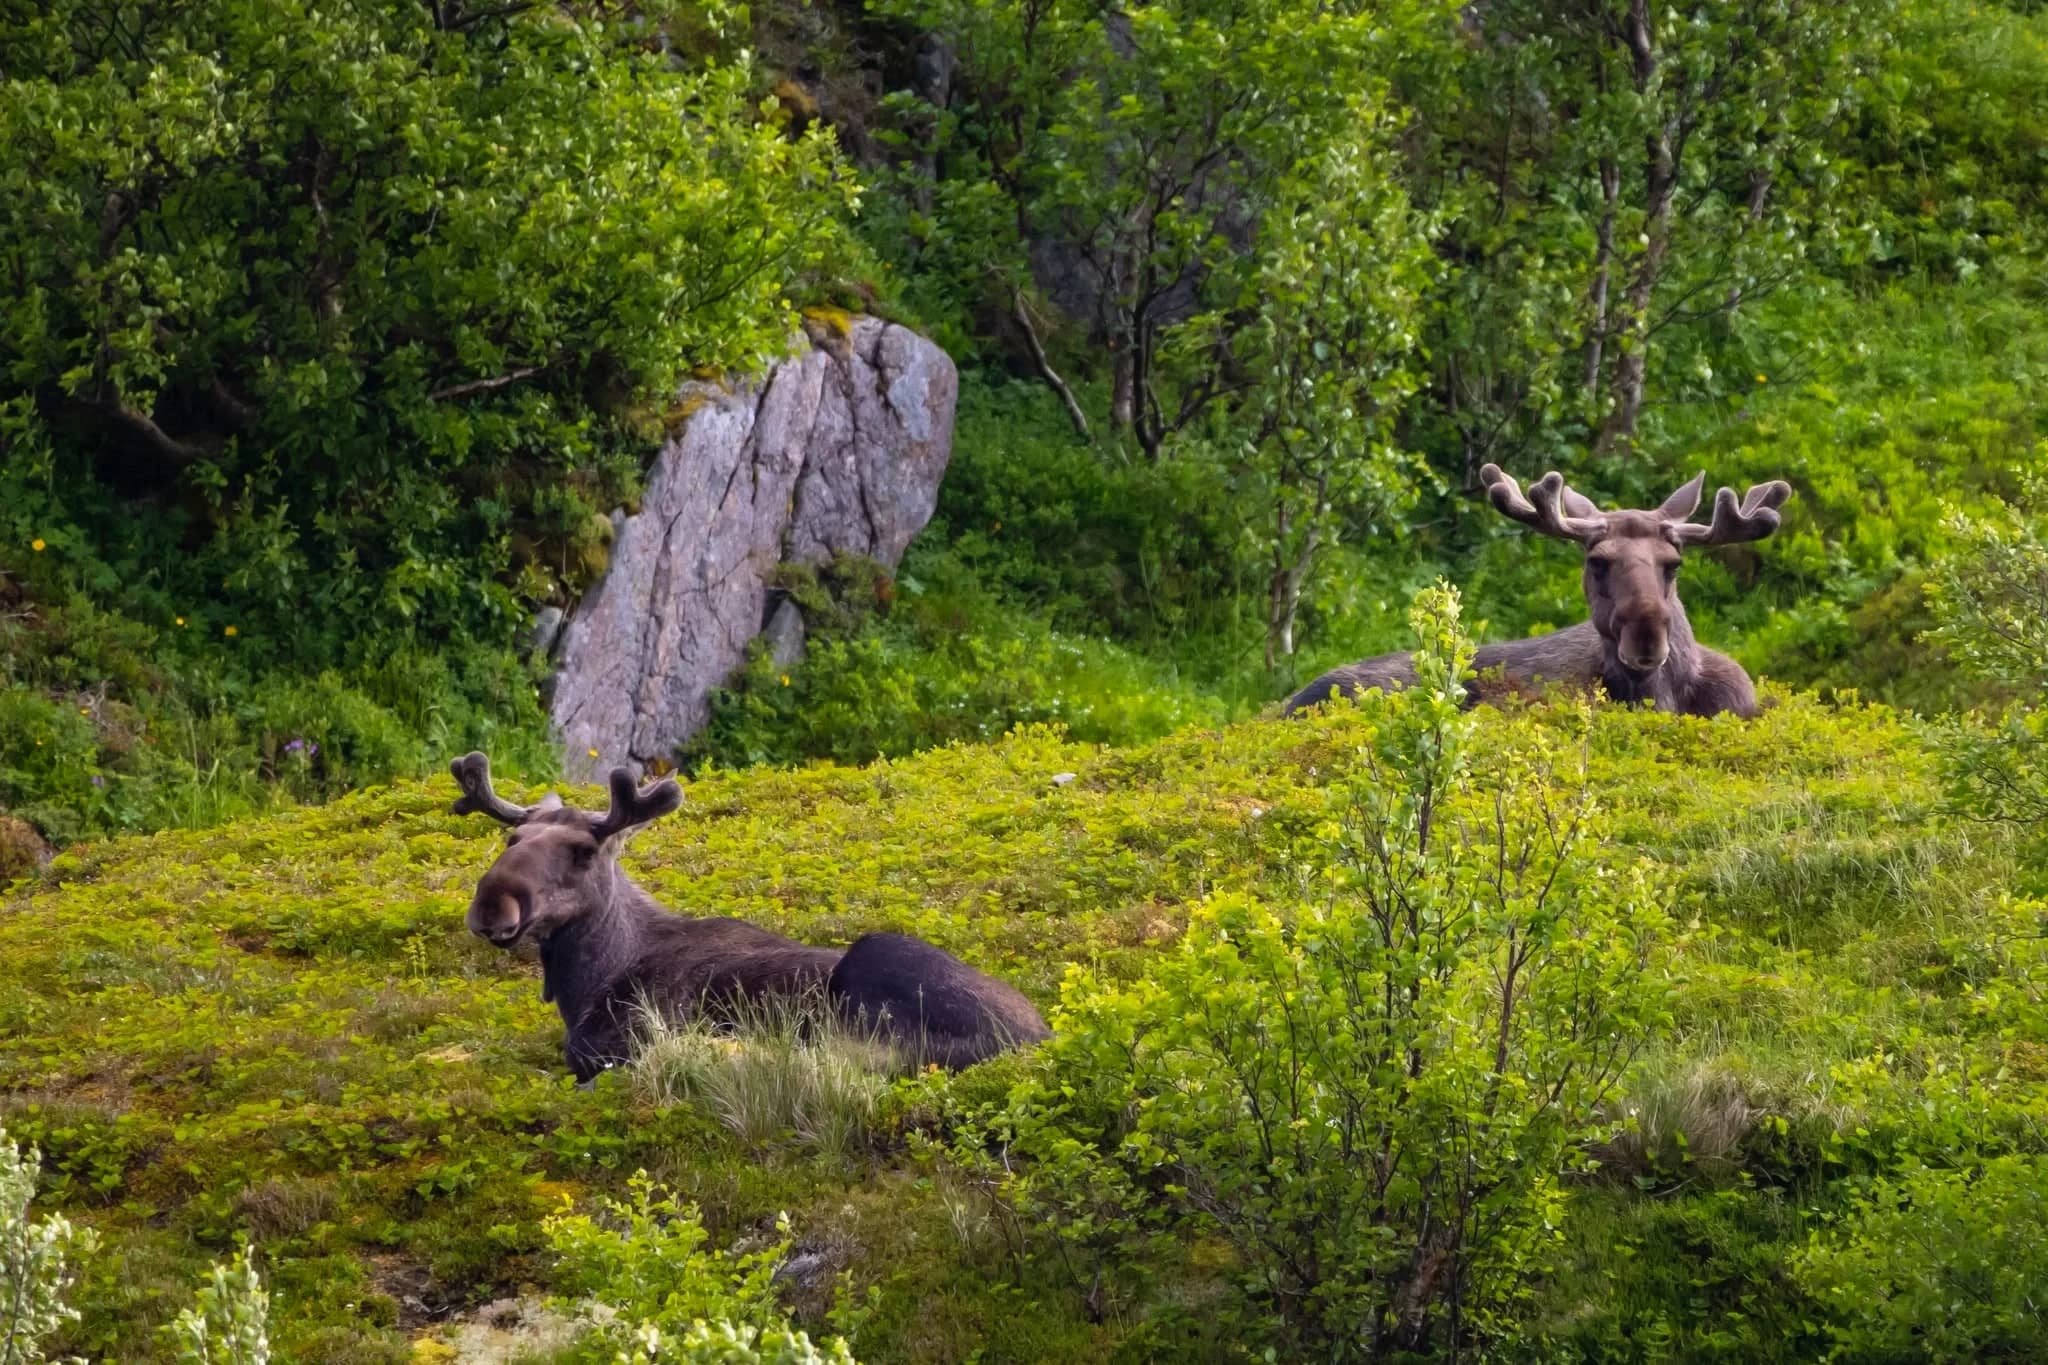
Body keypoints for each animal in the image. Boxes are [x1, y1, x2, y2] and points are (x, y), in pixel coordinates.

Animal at [450, 752, 1049, 1081]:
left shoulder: (626, 1037)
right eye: (512, 838)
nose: (492, 903)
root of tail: (1038, 1038)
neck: (585, 982)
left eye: (582, 851)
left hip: (875, 961)